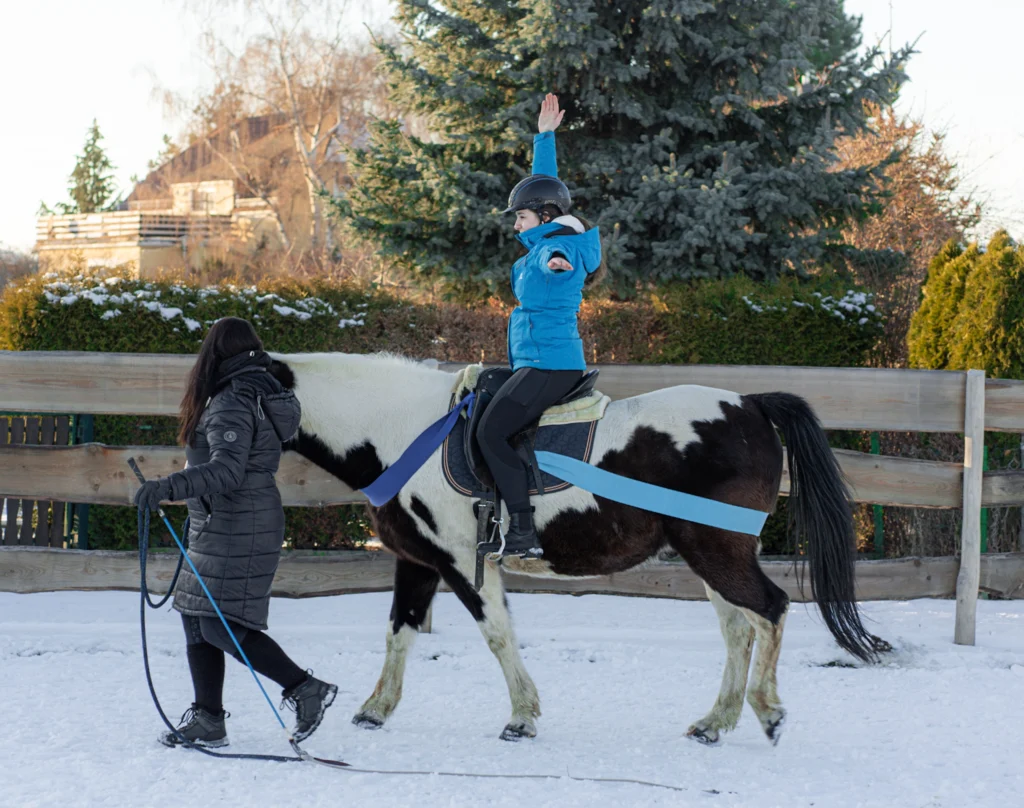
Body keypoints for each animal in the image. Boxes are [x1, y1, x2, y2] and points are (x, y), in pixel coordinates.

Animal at [272, 352, 888, 745]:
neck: (404, 432)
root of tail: (751, 403)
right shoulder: (419, 560)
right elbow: (399, 632)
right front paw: (374, 711)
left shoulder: (462, 562)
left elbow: (497, 634)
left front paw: (522, 719)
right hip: (712, 554)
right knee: (741, 629)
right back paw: (714, 724)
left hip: (717, 550)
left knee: (771, 610)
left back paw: (768, 711)